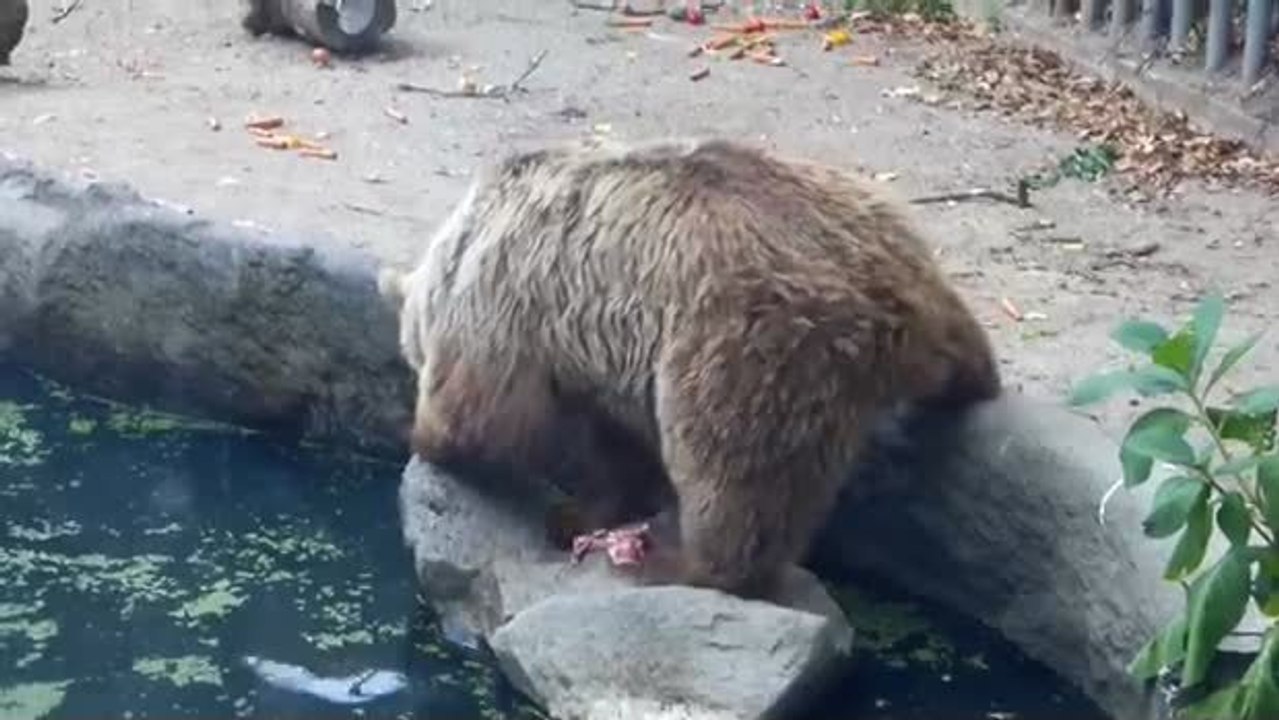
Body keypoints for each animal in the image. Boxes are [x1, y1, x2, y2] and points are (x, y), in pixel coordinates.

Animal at [379, 137, 1001, 601]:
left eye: (413, 354)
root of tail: (879, 308)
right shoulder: (592, 351)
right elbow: (618, 447)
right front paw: (581, 512)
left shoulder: (501, 299)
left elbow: (483, 411)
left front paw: (428, 436)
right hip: (895, 247)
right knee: (963, 345)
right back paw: (974, 380)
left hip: (744, 350)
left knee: (733, 479)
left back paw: (684, 564)